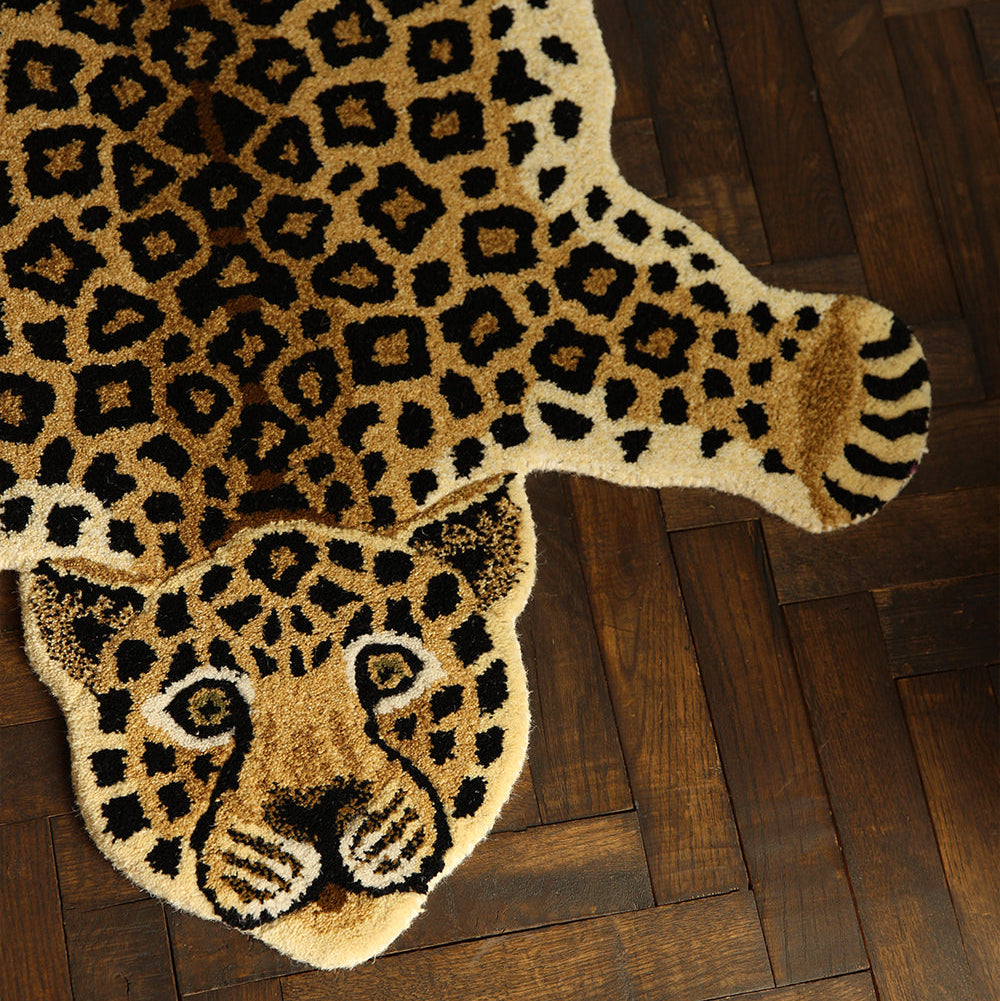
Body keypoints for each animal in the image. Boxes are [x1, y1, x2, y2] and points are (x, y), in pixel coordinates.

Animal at [0, 0, 929, 968]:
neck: (262, 452)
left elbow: (646, 327)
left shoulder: (510, 284)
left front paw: (849, 399)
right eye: (208, 704)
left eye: (388, 667)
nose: (319, 812)